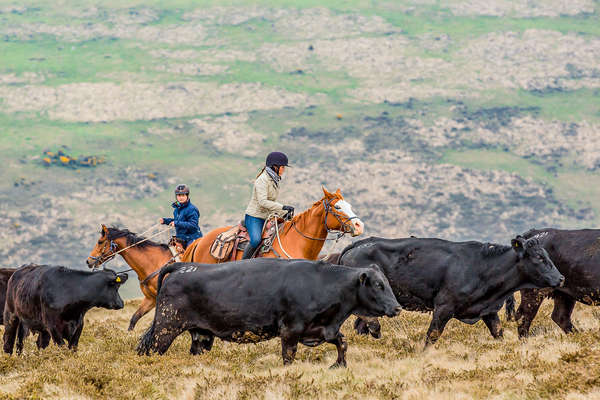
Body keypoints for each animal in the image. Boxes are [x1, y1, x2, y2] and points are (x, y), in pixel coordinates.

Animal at [138, 258, 400, 368]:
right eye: (379, 285)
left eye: (387, 282)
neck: (322, 282)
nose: (397, 307)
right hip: (165, 328)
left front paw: (339, 366)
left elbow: (342, 343)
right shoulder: (291, 330)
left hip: (200, 335)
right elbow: (288, 356)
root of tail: (183, 266)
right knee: (149, 350)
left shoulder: (323, 328)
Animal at [340, 236, 564, 346]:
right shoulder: (444, 307)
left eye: (546, 255)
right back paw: (376, 329)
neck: (482, 267)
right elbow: (432, 336)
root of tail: (358, 244)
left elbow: (498, 333)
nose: (561, 278)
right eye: (539, 257)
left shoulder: (488, 310)